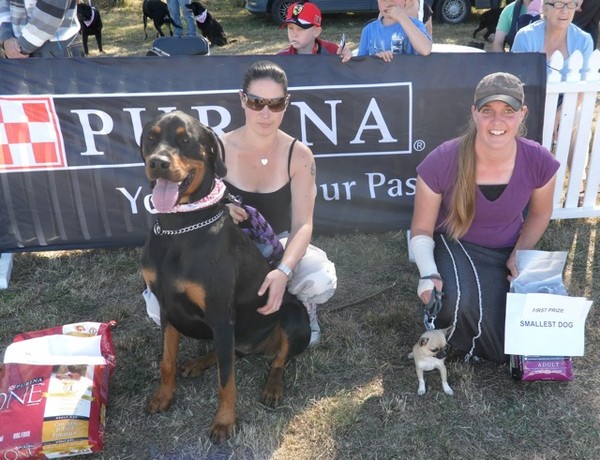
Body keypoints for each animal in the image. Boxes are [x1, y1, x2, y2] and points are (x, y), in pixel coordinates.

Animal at [141, 110, 310, 442]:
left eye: (185, 140)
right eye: (150, 138)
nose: (158, 162)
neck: (179, 228)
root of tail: (256, 347)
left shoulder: (220, 312)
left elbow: (226, 381)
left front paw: (224, 421)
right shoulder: (167, 306)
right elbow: (167, 361)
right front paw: (163, 397)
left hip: (294, 316)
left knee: (276, 360)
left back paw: (273, 387)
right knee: (230, 353)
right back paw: (198, 363)